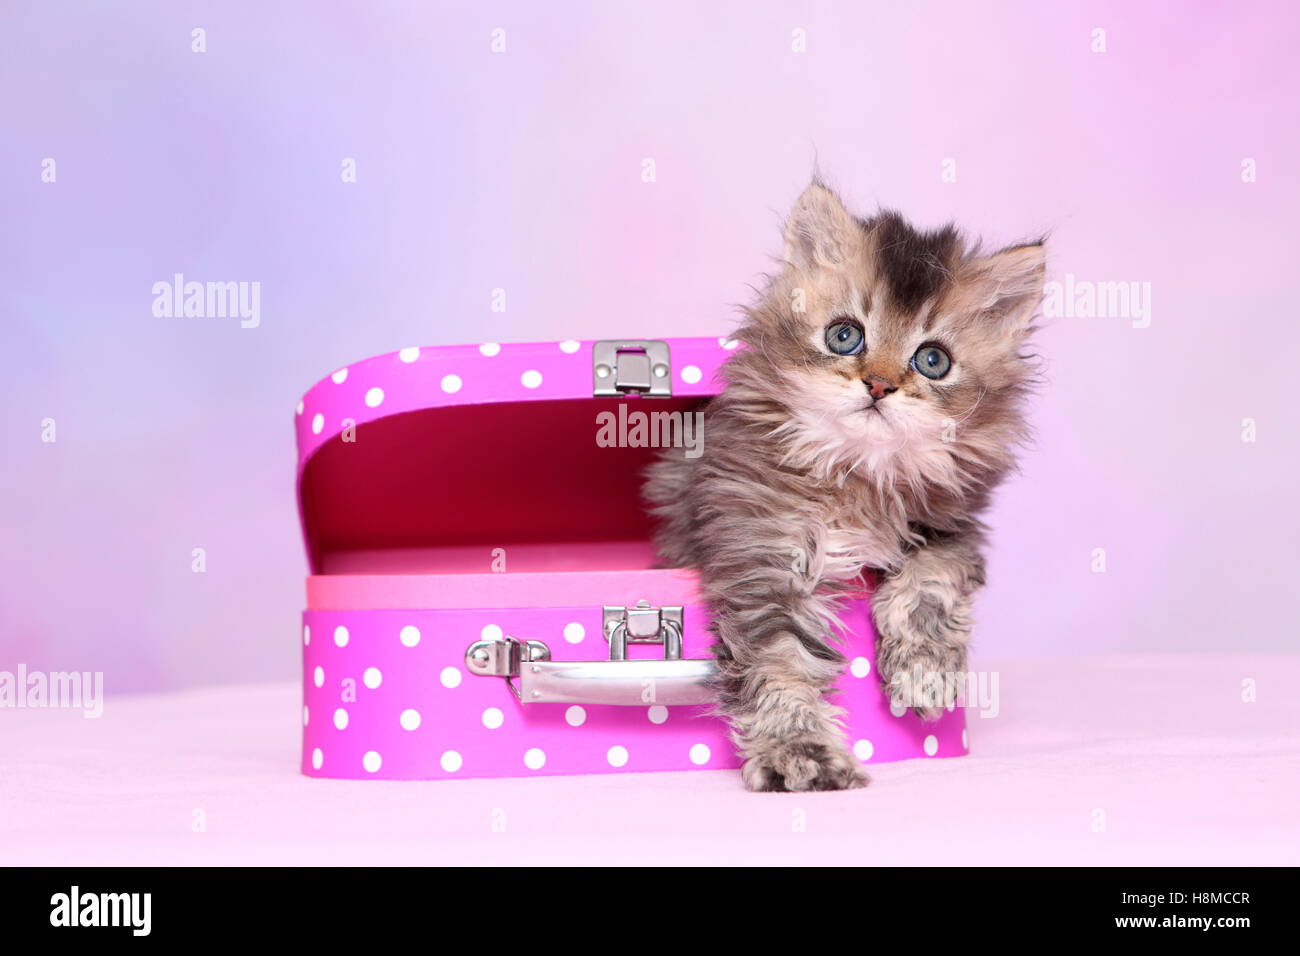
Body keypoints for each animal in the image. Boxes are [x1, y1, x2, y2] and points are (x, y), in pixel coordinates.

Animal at [647, 180, 1045, 790]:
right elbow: (781, 665)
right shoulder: (760, 558)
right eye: (845, 336)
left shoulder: (953, 527)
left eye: (933, 360)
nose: (878, 385)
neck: (858, 475)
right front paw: (799, 752)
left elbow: (928, 585)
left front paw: (924, 671)